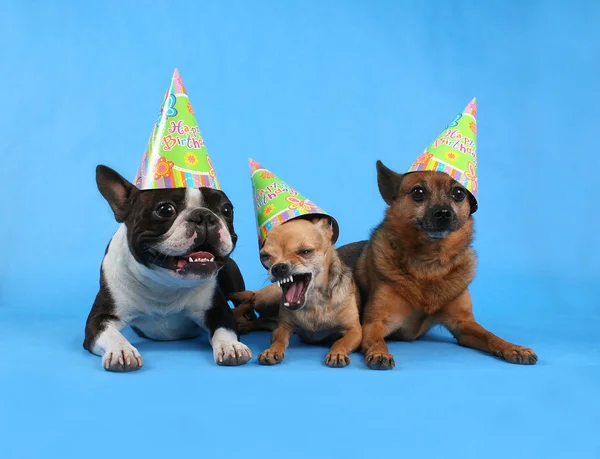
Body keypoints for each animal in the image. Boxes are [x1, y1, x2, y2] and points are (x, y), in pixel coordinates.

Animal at [83, 167, 252, 372]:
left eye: (227, 210)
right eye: (165, 210)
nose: (205, 215)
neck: (164, 285)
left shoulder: (218, 310)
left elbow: (224, 330)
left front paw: (231, 346)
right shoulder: (99, 319)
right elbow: (112, 334)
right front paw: (122, 350)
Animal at [230, 217, 360, 368]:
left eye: (306, 251)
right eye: (265, 256)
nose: (278, 267)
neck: (314, 302)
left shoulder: (355, 330)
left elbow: (340, 342)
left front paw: (337, 353)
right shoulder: (283, 327)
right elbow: (279, 340)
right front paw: (271, 351)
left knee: (259, 319)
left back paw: (244, 325)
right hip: (267, 299)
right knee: (250, 300)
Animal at [342, 162, 540, 370]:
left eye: (459, 193)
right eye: (418, 192)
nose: (444, 213)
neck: (430, 263)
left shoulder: (464, 325)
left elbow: (490, 335)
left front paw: (514, 348)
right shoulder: (374, 324)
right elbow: (377, 340)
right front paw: (380, 352)